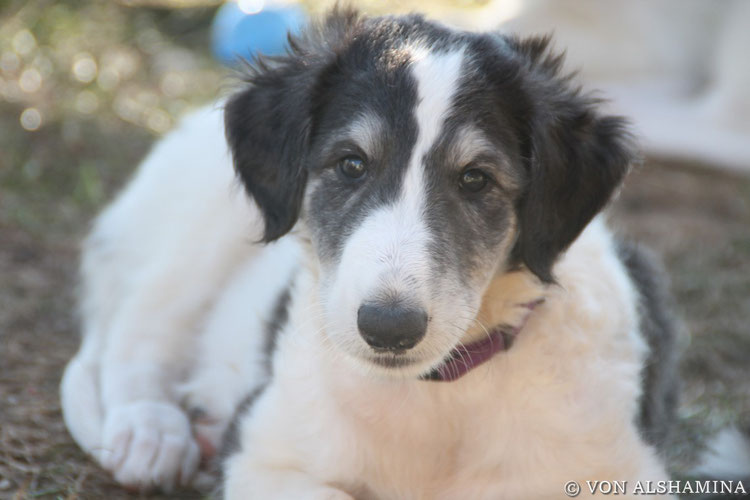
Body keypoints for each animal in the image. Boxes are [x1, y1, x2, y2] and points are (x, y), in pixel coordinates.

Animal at [60, 8, 680, 500]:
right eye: (352, 164)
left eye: (476, 179)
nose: (388, 328)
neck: (434, 395)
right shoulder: (264, 457)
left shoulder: (625, 473)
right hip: (198, 231)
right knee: (133, 337)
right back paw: (150, 433)